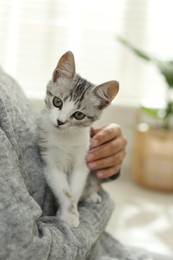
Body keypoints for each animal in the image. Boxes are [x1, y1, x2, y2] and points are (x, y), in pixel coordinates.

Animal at [37, 51, 119, 228]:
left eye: (79, 115)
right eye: (57, 101)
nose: (60, 121)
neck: (65, 137)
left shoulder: (82, 160)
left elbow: (74, 190)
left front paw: (71, 212)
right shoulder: (49, 161)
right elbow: (64, 190)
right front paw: (68, 213)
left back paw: (91, 195)